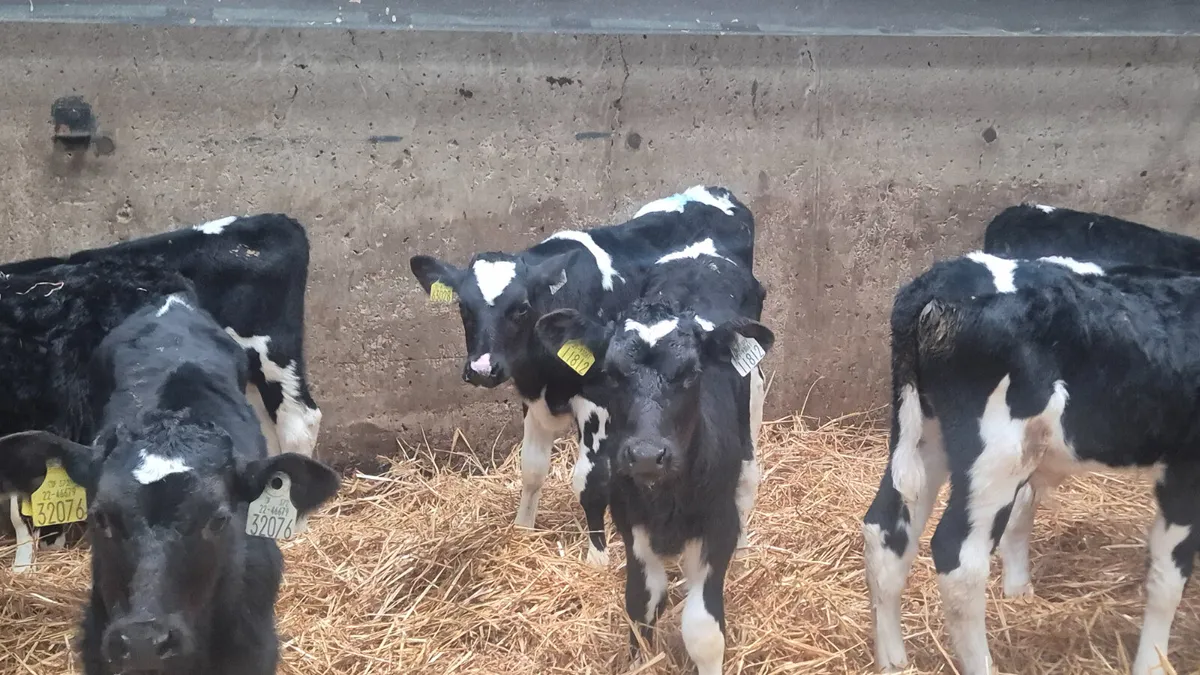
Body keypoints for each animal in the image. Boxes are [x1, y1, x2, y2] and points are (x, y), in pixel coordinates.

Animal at [409, 186, 764, 566]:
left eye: (520, 308)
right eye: (463, 307)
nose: (482, 369)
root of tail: (714, 191)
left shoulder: (596, 403)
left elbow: (589, 483)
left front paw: (597, 557)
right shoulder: (533, 396)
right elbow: (531, 468)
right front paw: (522, 530)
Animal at [534, 246, 772, 675]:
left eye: (692, 372)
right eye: (610, 374)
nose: (646, 456)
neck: (668, 500)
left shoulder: (718, 523)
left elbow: (703, 631)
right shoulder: (631, 522)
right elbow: (641, 604)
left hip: (753, 414)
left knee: (748, 483)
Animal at [862, 252, 1200, 675]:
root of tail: (939, 282)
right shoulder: (1184, 471)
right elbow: (1168, 579)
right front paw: (1153, 663)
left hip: (924, 433)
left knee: (886, 530)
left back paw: (892, 661)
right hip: (999, 452)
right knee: (960, 560)